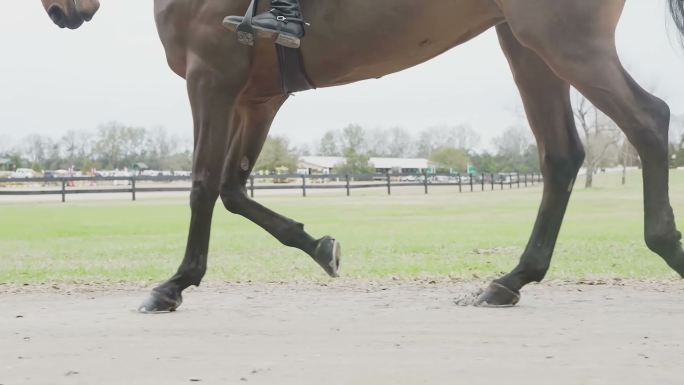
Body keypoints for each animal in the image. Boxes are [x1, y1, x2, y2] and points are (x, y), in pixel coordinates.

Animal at [41, 0, 684, 310]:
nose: (60, 13)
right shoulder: (259, 95)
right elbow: (234, 189)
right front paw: (321, 246)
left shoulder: (211, 79)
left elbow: (202, 184)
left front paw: (174, 284)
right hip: (526, 42)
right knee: (561, 155)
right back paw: (509, 281)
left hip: (561, 39)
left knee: (648, 121)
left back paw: (665, 246)